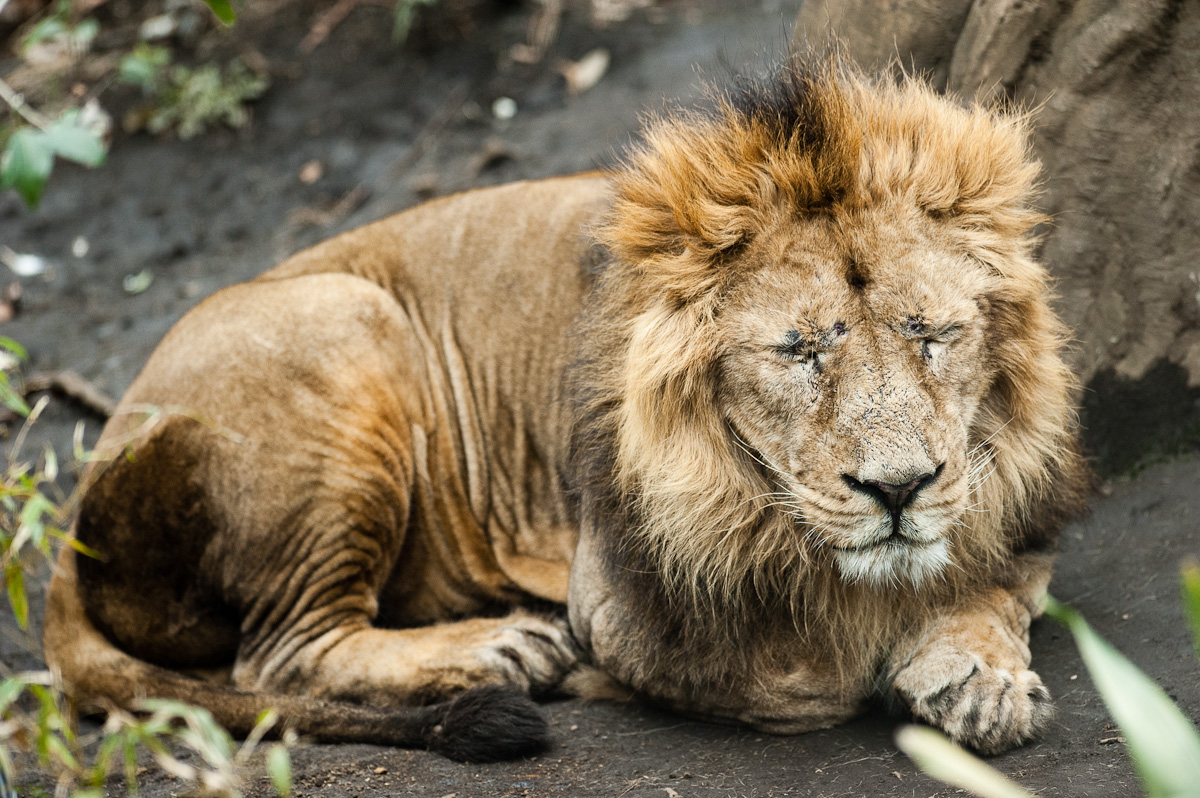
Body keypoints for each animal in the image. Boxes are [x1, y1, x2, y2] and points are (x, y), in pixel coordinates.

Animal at [39, 60, 1089, 758]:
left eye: (933, 333)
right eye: (797, 351)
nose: (899, 489)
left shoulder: (1021, 513)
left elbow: (999, 585)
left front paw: (979, 675)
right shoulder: (619, 604)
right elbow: (804, 680)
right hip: (345, 319)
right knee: (277, 658)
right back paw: (504, 647)